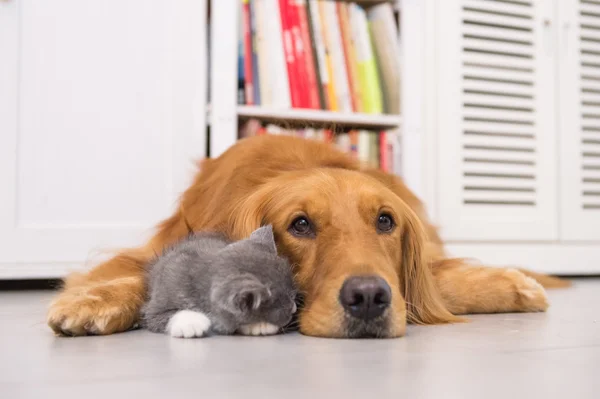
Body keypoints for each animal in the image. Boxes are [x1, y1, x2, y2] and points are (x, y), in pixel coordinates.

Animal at [143, 227, 298, 340]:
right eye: (287, 306)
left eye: (292, 296)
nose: (294, 308)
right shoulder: (155, 307)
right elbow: (162, 315)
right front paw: (191, 322)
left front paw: (259, 325)